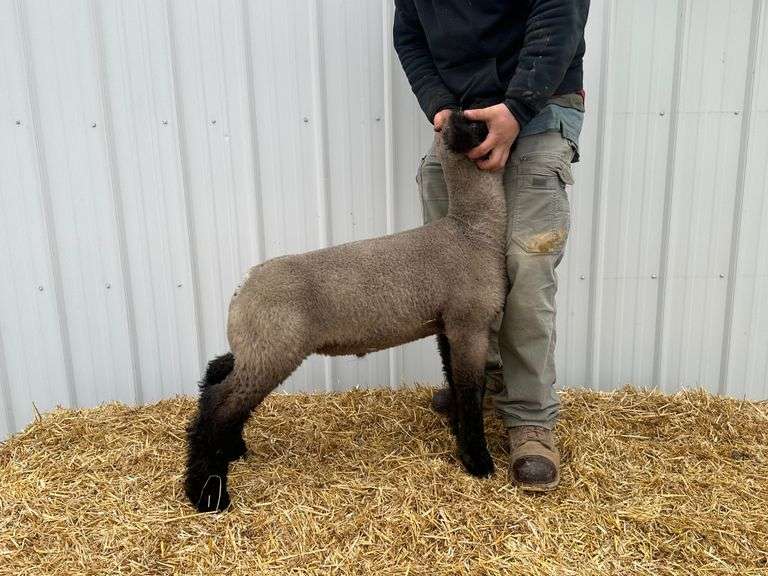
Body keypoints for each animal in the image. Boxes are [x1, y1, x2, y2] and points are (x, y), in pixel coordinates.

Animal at [185, 112, 507, 512]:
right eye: (480, 124)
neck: (472, 229)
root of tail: (242, 286)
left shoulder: (447, 325)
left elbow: (455, 379)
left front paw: (459, 436)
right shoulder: (470, 323)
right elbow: (470, 389)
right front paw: (478, 461)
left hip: (256, 346)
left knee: (218, 373)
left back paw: (231, 449)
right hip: (274, 351)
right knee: (219, 405)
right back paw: (208, 494)